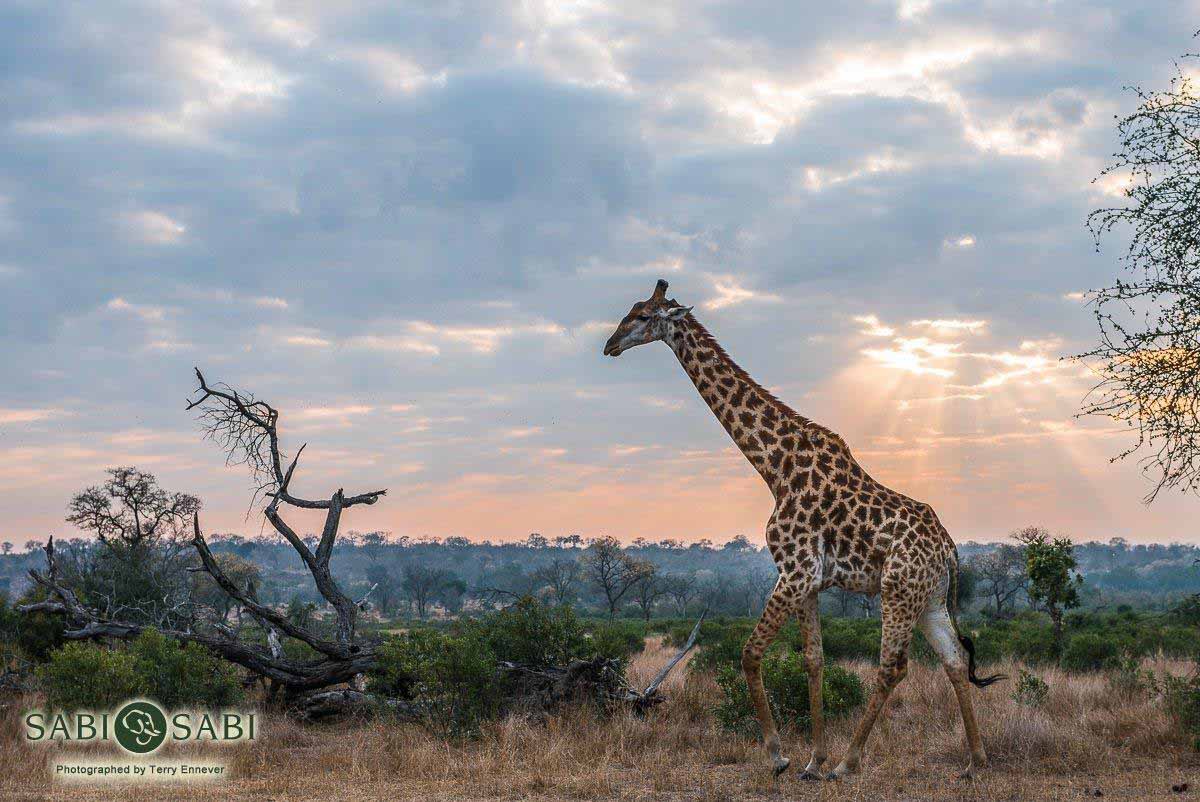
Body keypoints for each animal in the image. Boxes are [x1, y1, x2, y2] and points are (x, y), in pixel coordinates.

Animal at [603, 279, 1002, 781]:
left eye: (641, 317)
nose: (609, 345)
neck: (773, 467)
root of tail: (950, 550)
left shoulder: (793, 572)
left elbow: (750, 653)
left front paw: (780, 755)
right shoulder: (809, 581)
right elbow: (814, 660)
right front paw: (813, 760)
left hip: (897, 592)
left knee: (892, 667)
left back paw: (850, 762)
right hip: (929, 599)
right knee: (954, 660)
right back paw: (975, 760)